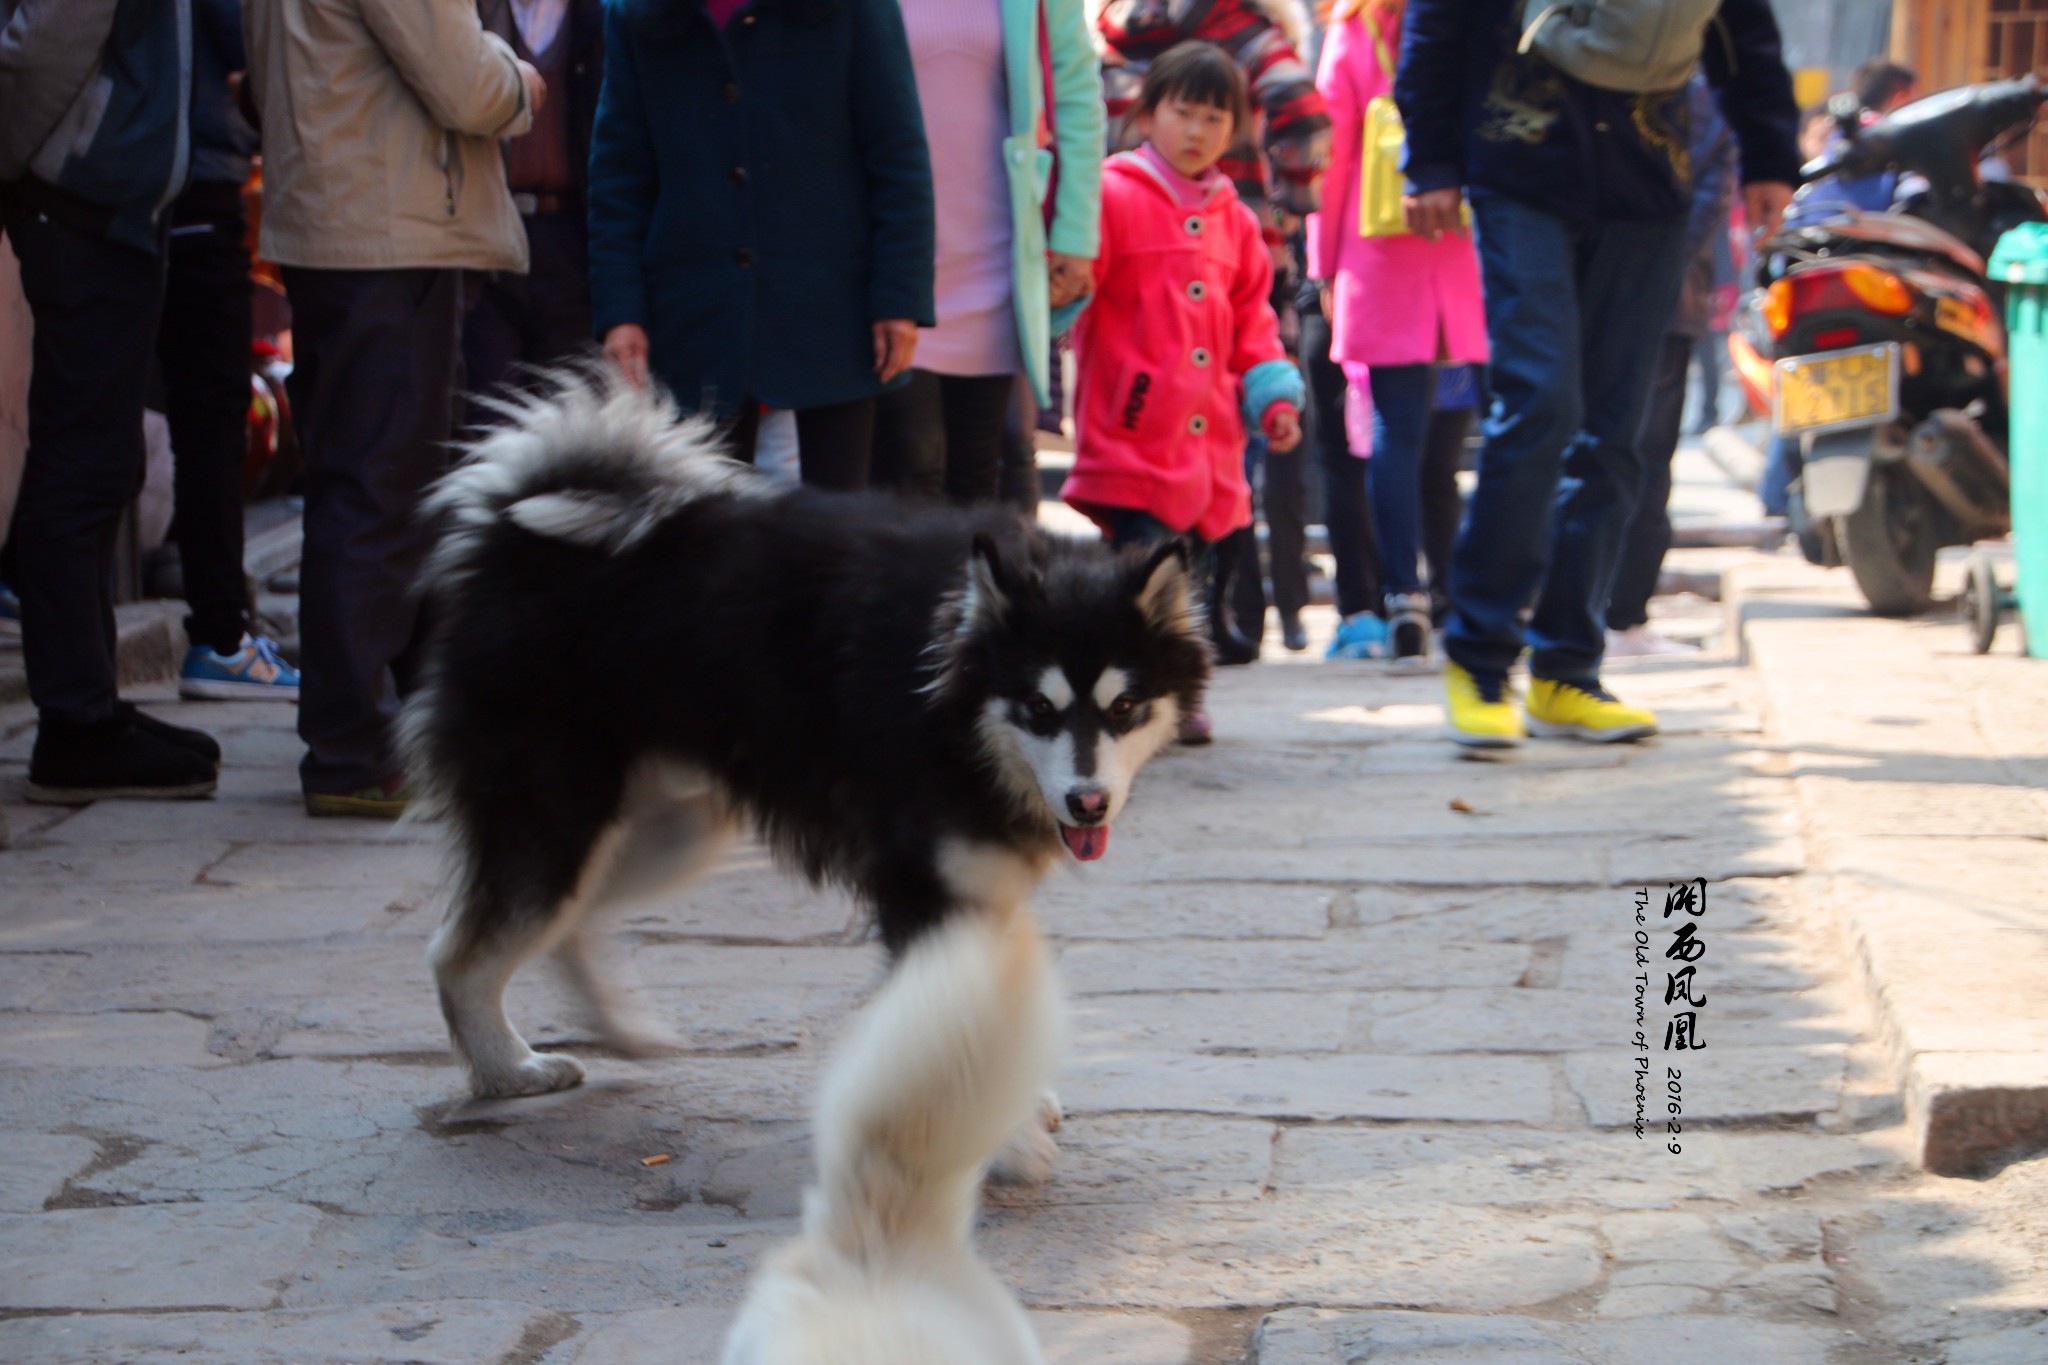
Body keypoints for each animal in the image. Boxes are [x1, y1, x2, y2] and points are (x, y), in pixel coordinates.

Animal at [393, 378, 1204, 1146]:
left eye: (1123, 707)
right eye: (1039, 707)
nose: (1087, 801)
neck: (944, 690)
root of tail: (507, 532)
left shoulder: (978, 876)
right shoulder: (925, 883)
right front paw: (1003, 1143)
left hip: (665, 833)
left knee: (566, 926)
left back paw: (616, 1027)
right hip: (557, 816)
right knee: (458, 953)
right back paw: (504, 1069)